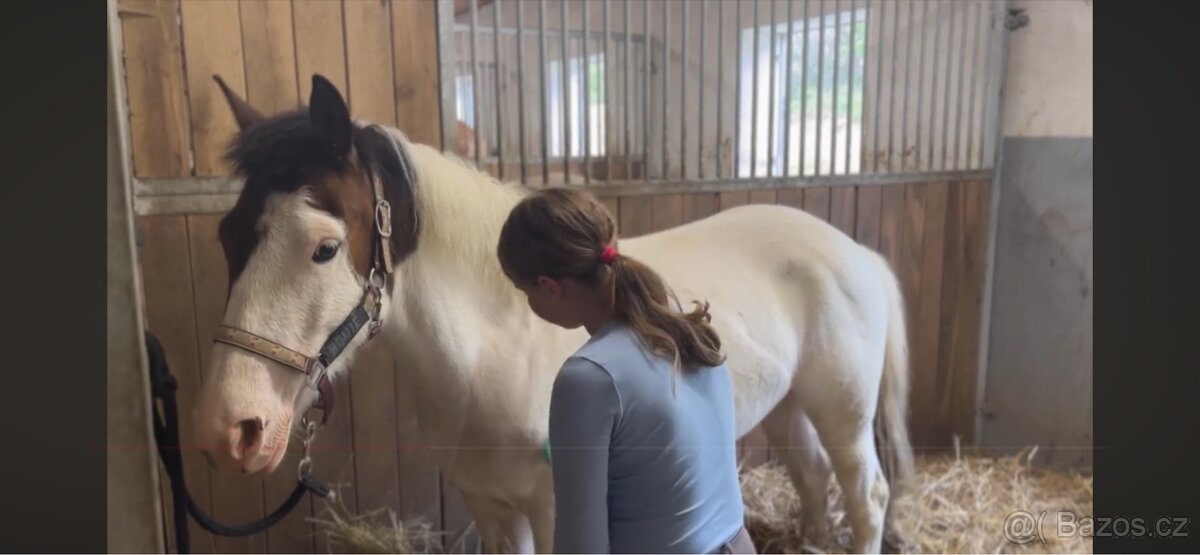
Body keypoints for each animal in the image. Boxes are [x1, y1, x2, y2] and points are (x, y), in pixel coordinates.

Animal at [190, 73, 915, 554]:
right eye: (226, 236)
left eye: (325, 247)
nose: (234, 431)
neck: (495, 350)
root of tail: (855, 251)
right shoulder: (491, 506)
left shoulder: (554, 508)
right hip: (790, 405)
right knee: (813, 477)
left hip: (844, 412)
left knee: (866, 493)